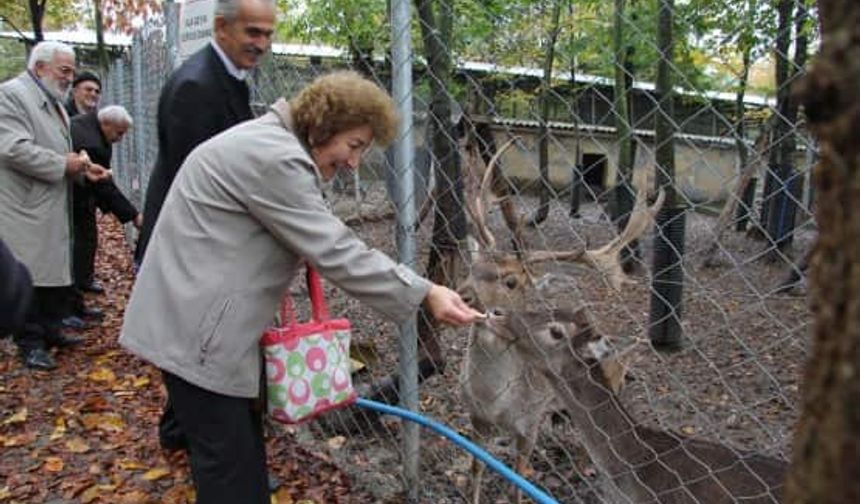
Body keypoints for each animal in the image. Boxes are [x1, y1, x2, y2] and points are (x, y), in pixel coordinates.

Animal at [456, 136, 664, 502]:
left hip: (613, 375)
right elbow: (476, 470)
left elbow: (516, 484)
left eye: (511, 281)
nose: (462, 293)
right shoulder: (476, 418)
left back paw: (585, 468)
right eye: (472, 267)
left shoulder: (529, 423)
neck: (495, 400)